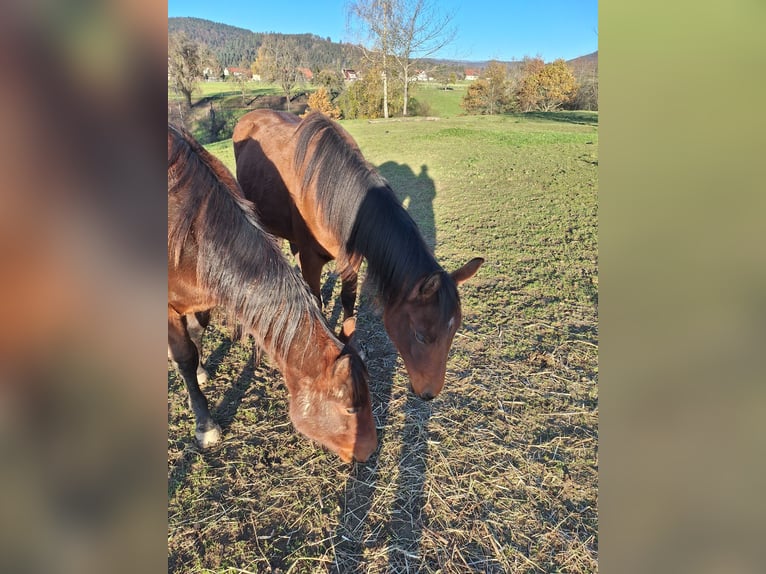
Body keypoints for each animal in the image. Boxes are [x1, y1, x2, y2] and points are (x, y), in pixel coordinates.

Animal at [168, 125, 378, 464]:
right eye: (350, 409)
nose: (369, 450)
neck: (191, 231)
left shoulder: (206, 294)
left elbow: (197, 332)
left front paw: (200, 371)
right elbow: (184, 357)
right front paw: (205, 425)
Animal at [234, 110, 486, 402]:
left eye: (454, 331)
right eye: (420, 335)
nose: (429, 394)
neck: (329, 192)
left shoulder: (350, 257)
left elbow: (348, 299)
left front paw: (350, 346)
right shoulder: (312, 260)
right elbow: (316, 302)